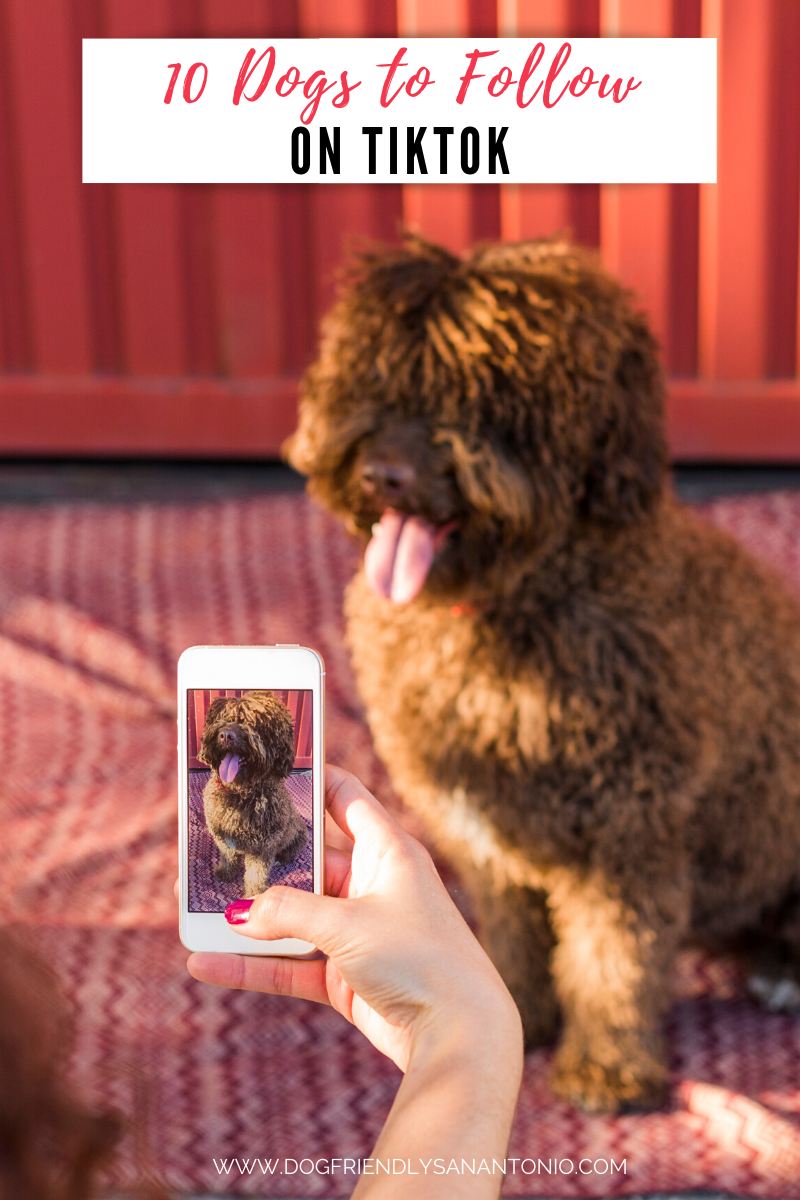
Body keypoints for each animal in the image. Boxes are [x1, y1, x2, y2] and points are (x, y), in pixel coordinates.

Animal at [289, 236, 800, 1113]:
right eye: (374, 381)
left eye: (488, 405)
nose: (384, 473)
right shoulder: (488, 838)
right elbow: (514, 938)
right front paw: (515, 1011)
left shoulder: (629, 837)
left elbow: (613, 962)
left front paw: (609, 1070)